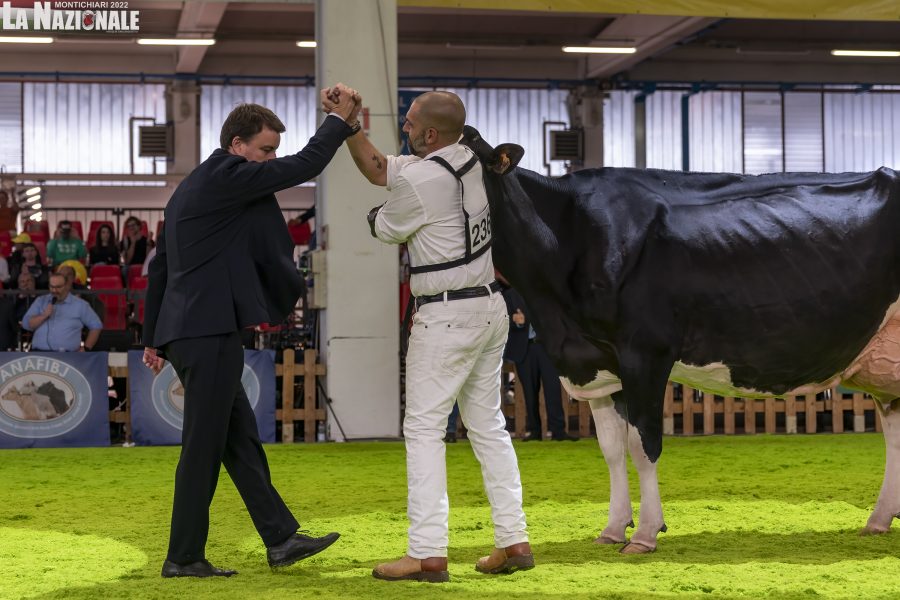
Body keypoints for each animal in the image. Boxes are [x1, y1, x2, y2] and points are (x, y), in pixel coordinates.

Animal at [460, 125, 900, 554]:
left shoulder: (645, 354)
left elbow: (644, 445)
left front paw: (645, 534)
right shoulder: (597, 364)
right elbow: (611, 449)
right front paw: (613, 529)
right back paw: (878, 521)